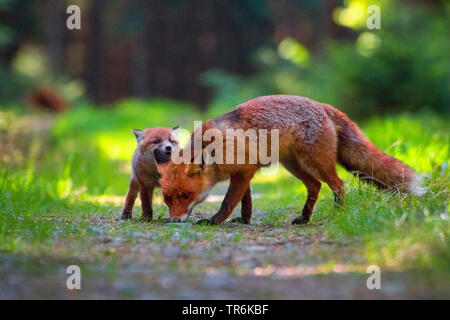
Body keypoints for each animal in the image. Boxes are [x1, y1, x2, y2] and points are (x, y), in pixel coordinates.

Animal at [156, 95, 428, 225]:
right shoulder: (243, 172)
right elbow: (246, 202)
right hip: (294, 166)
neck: (215, 148)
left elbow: (228, 201)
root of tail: (323, 105)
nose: (174, 220)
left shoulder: (244, 172)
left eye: (186, 196)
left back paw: (338, 213)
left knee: (338, 184)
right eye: (167, 198)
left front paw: (214, 222)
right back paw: (305, 219)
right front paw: (244, 221)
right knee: (315, 186)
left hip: (316, 163)